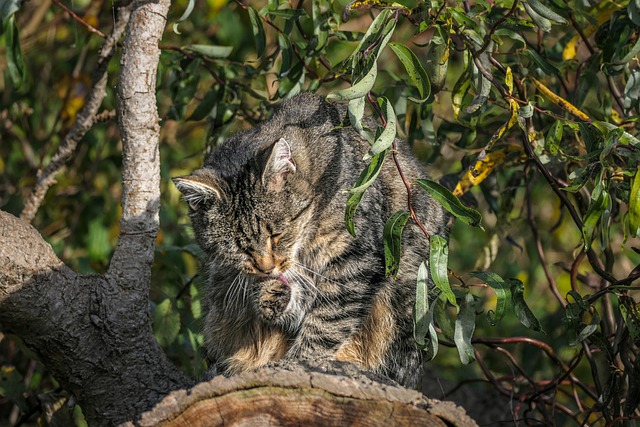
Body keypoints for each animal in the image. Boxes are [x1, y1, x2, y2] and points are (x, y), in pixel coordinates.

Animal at [172, 93, 448, 388]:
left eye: (277, 234)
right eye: (237, 247)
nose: (266, 268)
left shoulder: (354, 260)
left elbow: (326, 323)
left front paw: (301, 364)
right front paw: (270, 295)